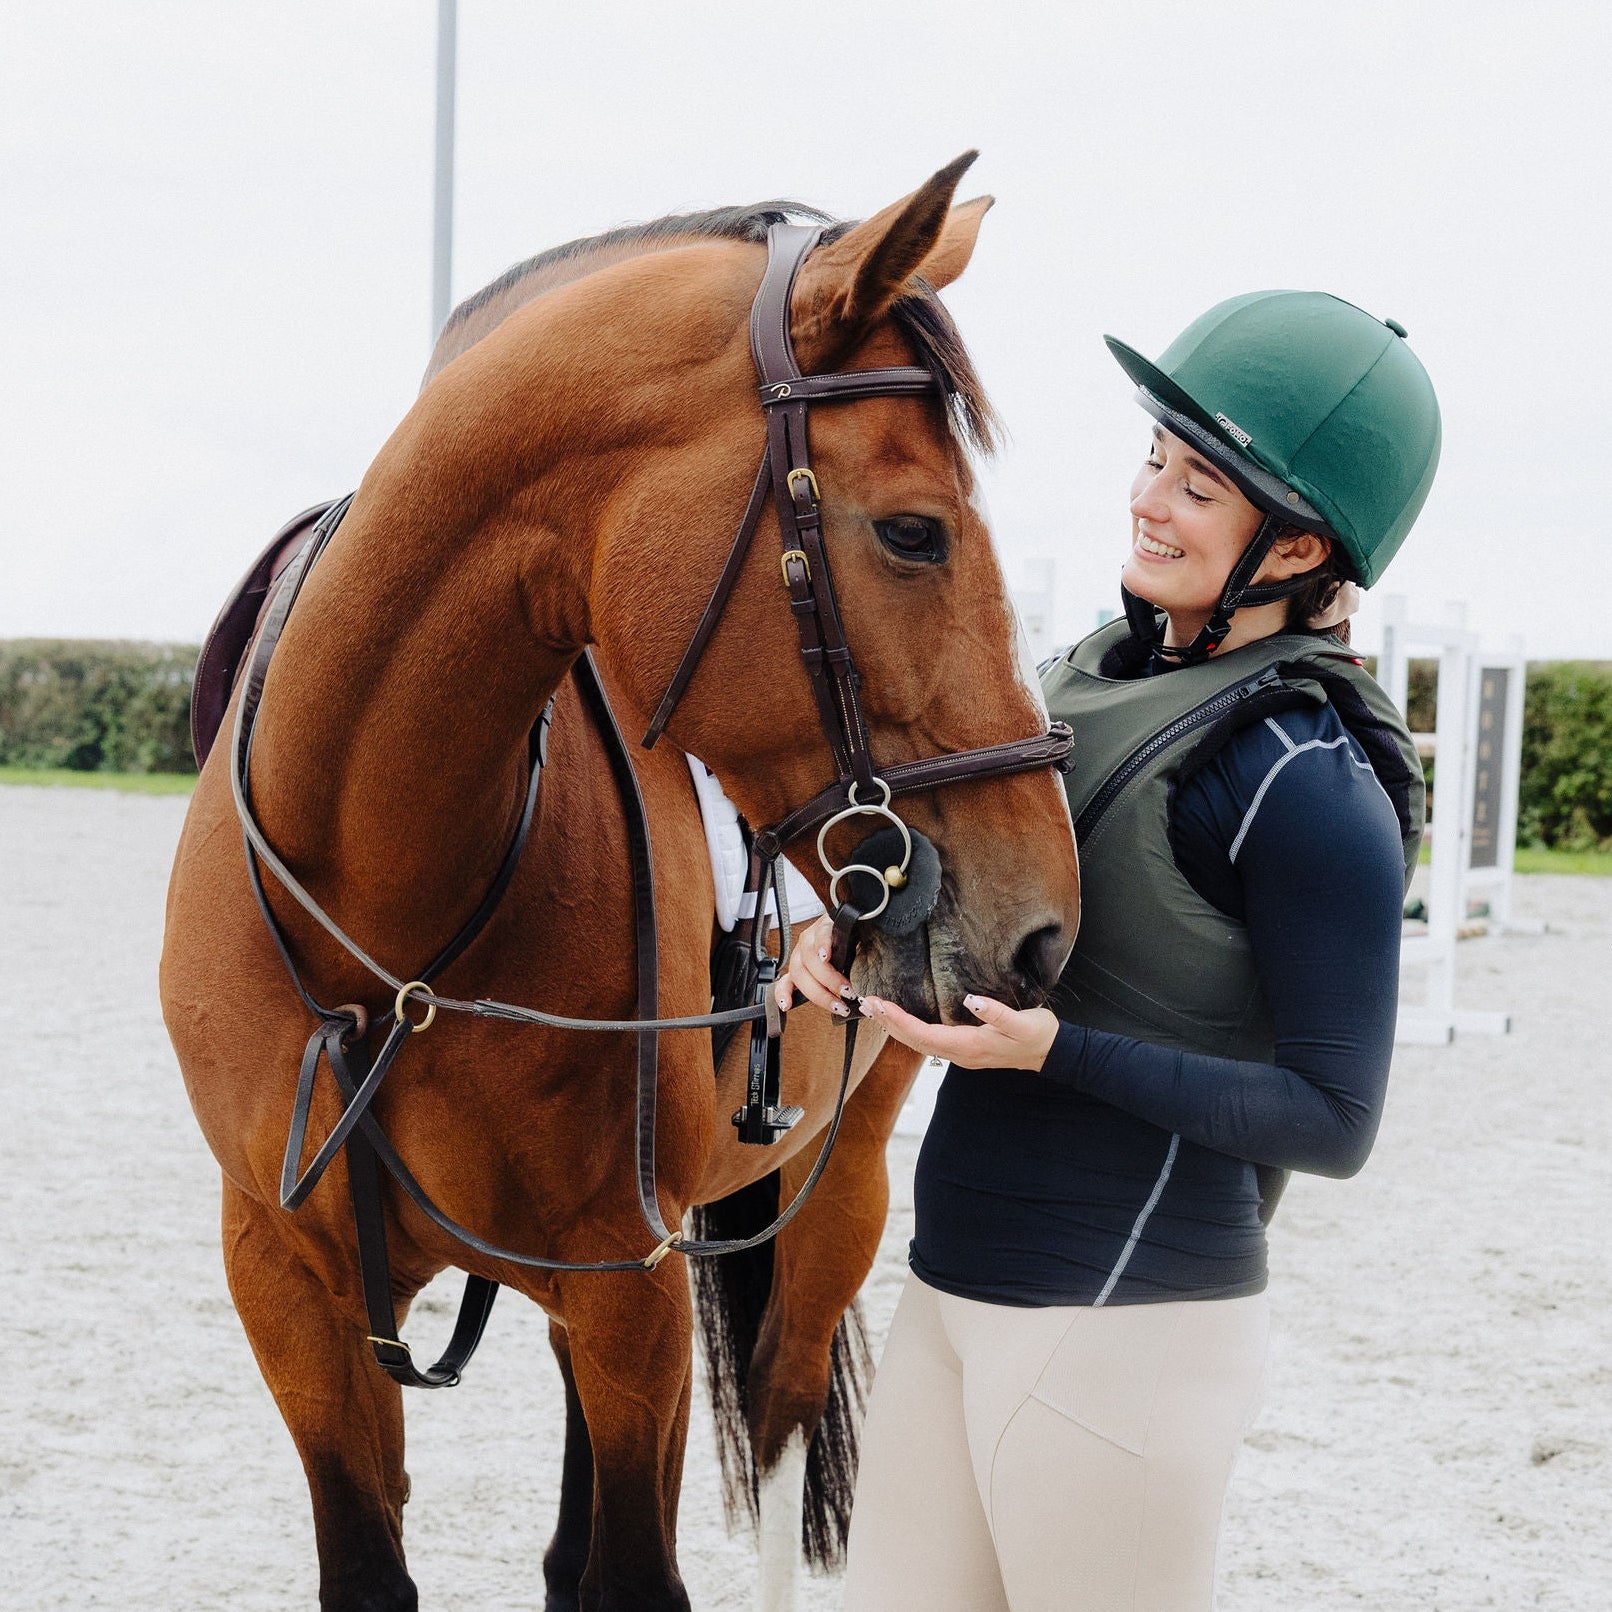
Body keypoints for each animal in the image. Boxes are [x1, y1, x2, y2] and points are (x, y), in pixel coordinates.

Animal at [160, 152, 1081, 1611]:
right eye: (915, 532)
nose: (1047, 927)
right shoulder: (291, 1285)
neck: (385, 913)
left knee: (775, 1424)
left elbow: (641, 1567)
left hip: (833, 1192)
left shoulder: (625, 1279)